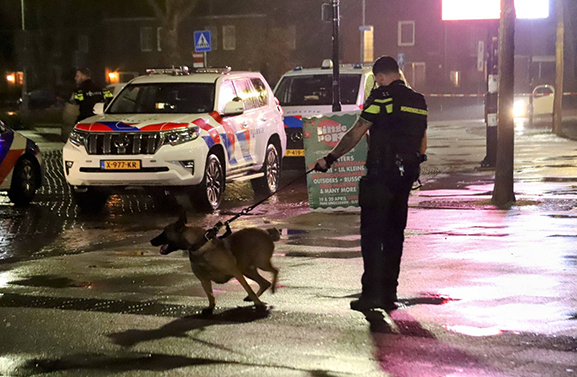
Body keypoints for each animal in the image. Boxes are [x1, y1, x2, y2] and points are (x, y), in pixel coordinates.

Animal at [151, 213, 280, 312]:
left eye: (164, 232)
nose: (151, 241)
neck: (199, 246)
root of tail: (266, 232)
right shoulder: (204, 280)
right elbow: (210, 295)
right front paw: (210, 307)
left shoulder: (237, 273)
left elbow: (249, 288)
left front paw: (258, 303)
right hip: (247, 269)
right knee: (265, 283)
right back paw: (254, 296)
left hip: (259, 264)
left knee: (275, 271)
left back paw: (272, 288)